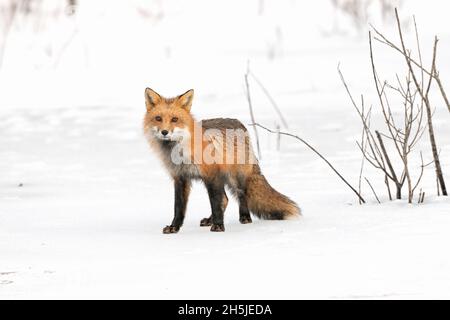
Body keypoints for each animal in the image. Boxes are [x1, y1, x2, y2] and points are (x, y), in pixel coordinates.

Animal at [142, 87, 300, 232]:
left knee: (239, 195)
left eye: (174, 119)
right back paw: (209, 220)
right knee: (225, 199)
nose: (164, 132)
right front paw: (174, 227)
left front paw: (218, 226)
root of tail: (241, 125)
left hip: (234, 177)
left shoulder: (212, 175)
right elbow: (178, 207)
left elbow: (215, 203)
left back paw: (244, 217)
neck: (180, 152)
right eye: (158, 118)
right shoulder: (180, 177)